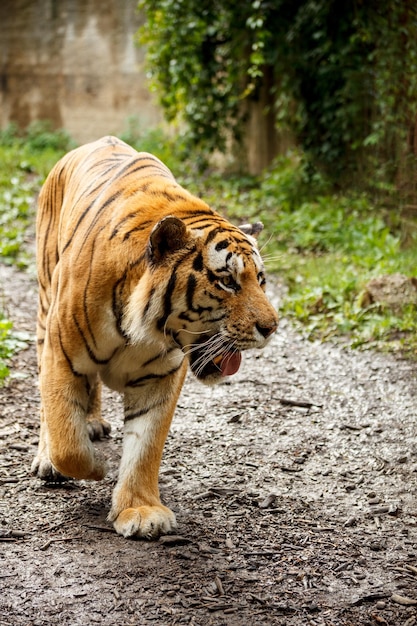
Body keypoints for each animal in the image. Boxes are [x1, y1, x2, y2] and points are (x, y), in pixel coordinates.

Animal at [30, 135, 278, 536]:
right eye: (227, 281)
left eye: (261, 280)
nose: (271, 327)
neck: (139, 330)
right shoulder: (61, 354)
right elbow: (67, 438)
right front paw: (95, 469)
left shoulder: (161, 377)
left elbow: (145, 446)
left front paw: (140, 510)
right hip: (43, 307)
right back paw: (48, 456)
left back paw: (93, 423)